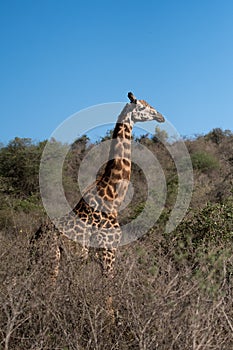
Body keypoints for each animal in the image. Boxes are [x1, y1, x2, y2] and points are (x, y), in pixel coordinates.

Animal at [29, 92, 164, 282]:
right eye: (143, 106)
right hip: (52, 260)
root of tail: (35, 239)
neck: (113, 198)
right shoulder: (108, 250)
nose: (161, 116)